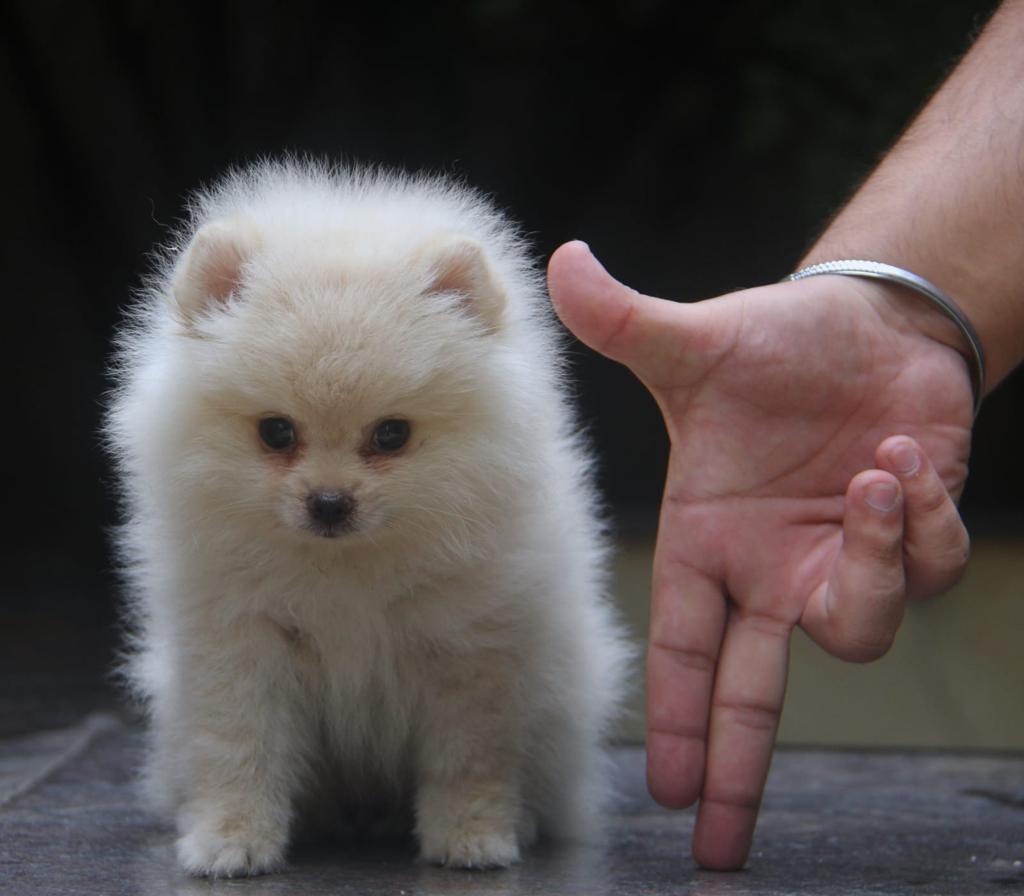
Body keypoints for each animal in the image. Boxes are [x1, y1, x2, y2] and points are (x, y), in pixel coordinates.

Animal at [105, 159, 630, 876]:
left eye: (391, 434)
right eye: (276, 431)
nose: (330, 502)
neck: (344, 573)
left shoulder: (469, 649)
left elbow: (470, 757)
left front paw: (471, 838)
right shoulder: (239, 644)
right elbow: (240, 749)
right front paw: (230, 840)